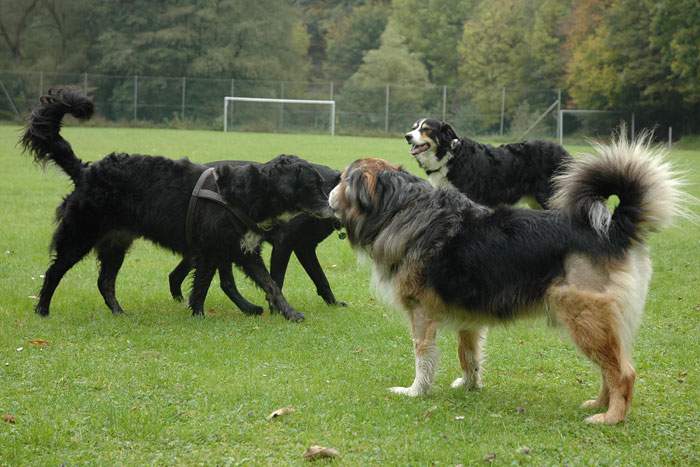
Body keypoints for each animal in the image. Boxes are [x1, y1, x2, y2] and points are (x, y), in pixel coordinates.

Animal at [169, 159, 344, 312]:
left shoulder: (305, 247)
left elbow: (320, 278)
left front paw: (333, 304)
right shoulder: (284, 244)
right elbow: (277, 280)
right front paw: (276, 310)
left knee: (179, 276)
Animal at [330, 134, 688, 424]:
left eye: (343, 179)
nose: (328, 194)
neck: (399, 208)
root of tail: (612, 228)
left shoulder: (421, 314)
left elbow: (423, 357)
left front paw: (416, 391)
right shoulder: (468, 315)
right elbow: (468, 354)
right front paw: (470, 385)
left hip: (585, 316)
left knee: (623, 373)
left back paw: (610, 417)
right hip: (596, 322)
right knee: (608, 369)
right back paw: (598, 404)